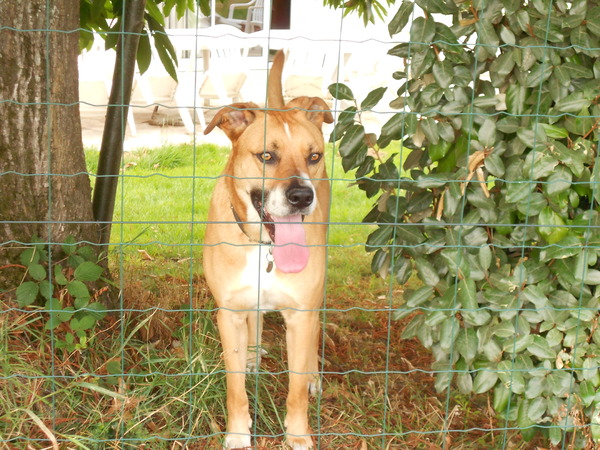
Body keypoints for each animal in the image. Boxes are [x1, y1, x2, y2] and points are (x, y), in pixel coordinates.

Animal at [204, 50, 336, 450]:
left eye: (313, 156)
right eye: (266, 156)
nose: (302, 196)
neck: (265, 247)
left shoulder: (300, 313)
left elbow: (295, 390)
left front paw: (297, 435)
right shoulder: (229, 313)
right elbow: (235, 388)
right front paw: (237, 434)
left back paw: (313, 375)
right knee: (256, 321)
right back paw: (252, 355)